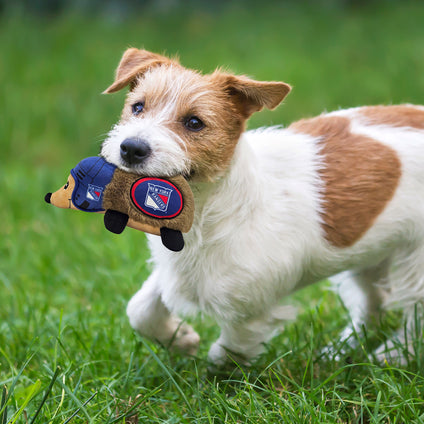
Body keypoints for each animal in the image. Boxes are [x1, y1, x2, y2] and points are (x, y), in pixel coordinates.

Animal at [101, 48, 424, 366]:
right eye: (138, 107)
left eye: (194, 123)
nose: (131, 148)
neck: (207, 210)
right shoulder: (175, 271)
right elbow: (140, 309)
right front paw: (180, 339)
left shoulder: (251, 310)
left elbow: (227, 353)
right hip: (369, 255)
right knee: (373, 303)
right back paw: (340, 352)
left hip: (414, 263)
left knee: (414, 315)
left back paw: (394, 355)